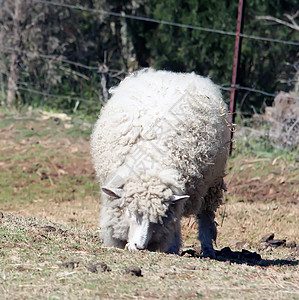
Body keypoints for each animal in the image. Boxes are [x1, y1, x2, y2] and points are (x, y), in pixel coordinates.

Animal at [91, 68, 232, 258]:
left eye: (157, 219)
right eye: (129, 211)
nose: (139, 247)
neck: (148, 162)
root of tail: (173, 74)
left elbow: (174, 222)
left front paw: (171, 247)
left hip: (213, 182)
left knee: (205, 215)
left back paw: (208, 248)